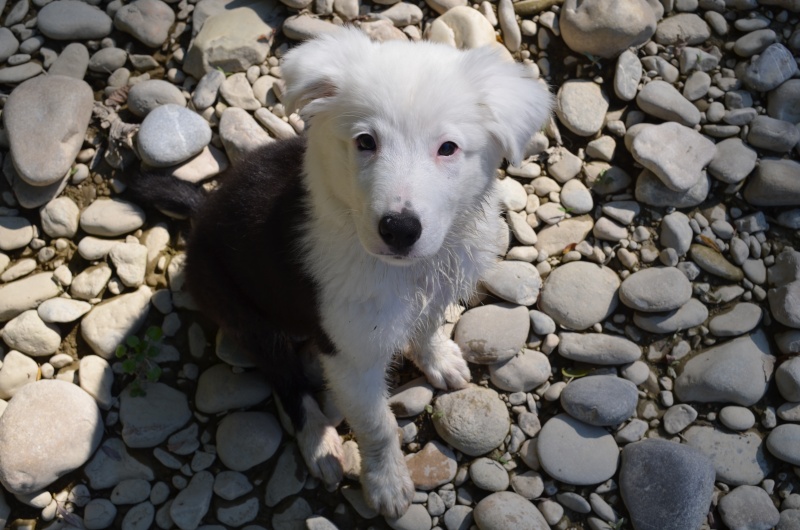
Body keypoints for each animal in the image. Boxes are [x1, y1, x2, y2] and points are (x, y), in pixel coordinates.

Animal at [136, 27, 552, 516]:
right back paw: (320, 442)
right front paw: (387, 484)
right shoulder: (352, 354)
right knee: (286, 381)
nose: (399, 229)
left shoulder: (437, 287)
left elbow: (428, 325)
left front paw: (438, 359)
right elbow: (377, 425)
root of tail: (201, 213)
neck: (402, 269)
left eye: (448, 148)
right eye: (365, 141)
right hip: (244, 313)